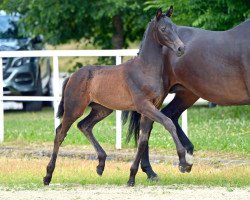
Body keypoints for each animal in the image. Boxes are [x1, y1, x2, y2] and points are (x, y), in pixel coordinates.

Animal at [42, 7, 189, 186]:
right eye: (163, 29)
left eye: (174, 28)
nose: (181, 48)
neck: (145, 69)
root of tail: (71, 76)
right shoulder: (144, 106)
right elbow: (168, 123)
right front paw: (184, 163)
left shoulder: (152, 107)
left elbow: (142, 141)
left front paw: (131, 177)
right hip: (74, 108)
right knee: (60, 133)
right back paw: (48, 176)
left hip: (102, 109)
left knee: (84, 126)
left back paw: (101, 164)